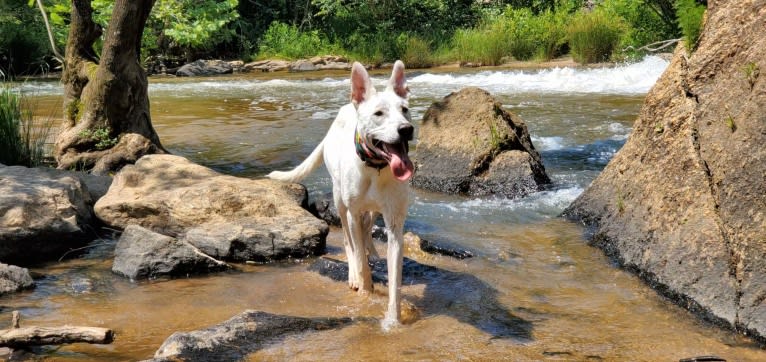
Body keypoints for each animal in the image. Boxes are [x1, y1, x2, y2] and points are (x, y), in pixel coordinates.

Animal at [268, 60, 414, 328]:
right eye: (379, 113)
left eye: (405, 110)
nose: (406, 129)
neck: (376, 168)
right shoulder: (352, 213)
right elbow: (358, 257)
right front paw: (364, 288)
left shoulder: (395, 222)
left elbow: (395, 277)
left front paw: (393, 320)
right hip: (339, 201)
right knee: (349, 239)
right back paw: (354, 273)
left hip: (373, 210)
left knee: (367, 228)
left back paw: (371, 251)